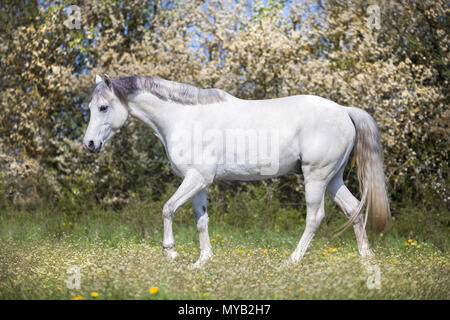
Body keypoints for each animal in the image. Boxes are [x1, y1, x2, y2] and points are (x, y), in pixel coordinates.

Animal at [83, 75, 390, 268]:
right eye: (90, 107)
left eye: (103, 107)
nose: (89, 144)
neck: (183, 118)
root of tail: (344, 110)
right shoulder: (198, 183)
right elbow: (201, 221)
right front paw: (202, 262)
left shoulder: (196, 178)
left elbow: (168, 208)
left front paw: (171, 253)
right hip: (333, 179)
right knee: (354, 210)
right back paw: (367, 260)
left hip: (316, 177)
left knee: (315, 217)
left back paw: (291, 262)